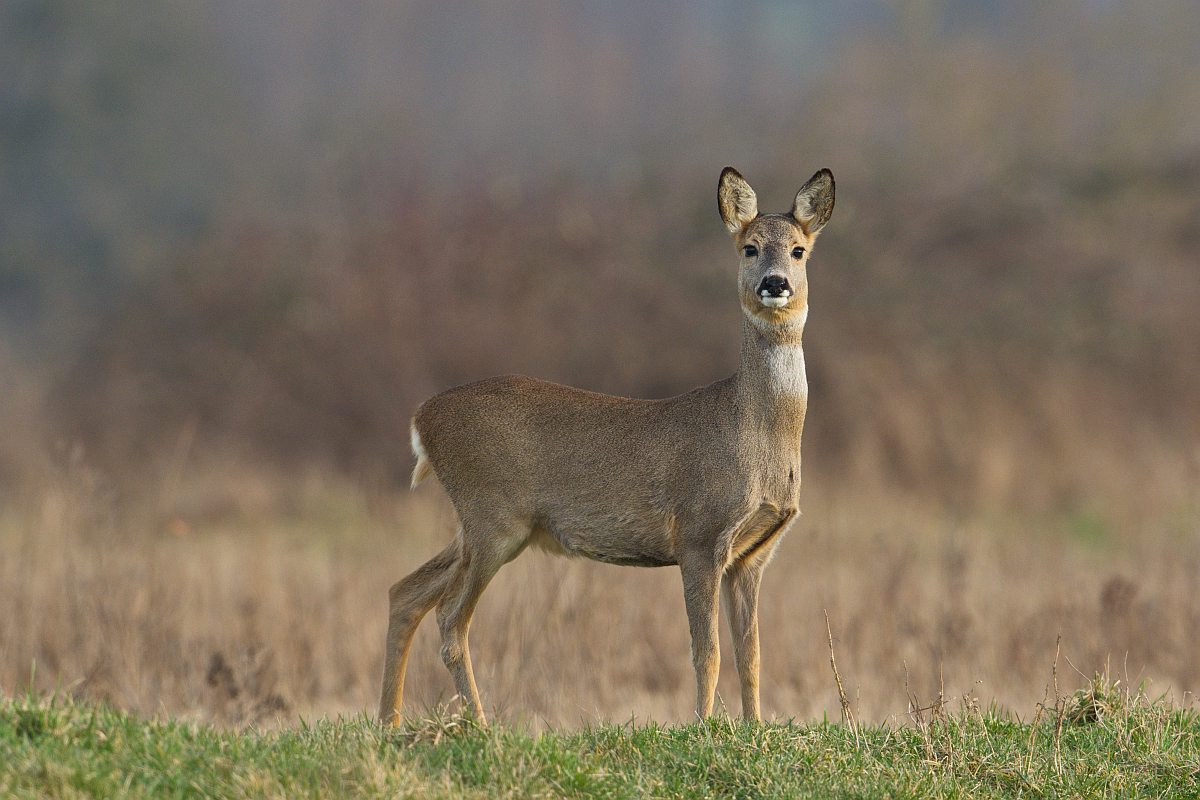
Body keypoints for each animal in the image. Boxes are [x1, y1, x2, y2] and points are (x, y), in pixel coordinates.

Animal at [379, 165, 840, 729]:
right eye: (749, 248)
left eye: (798, 250)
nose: (775, 283)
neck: (754, 431)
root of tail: (422, 420)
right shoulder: (699, 533)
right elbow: (706, 652)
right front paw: (703, 728)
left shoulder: (753, 554)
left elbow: (751, 654)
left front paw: (754, 729)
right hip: (494, 517)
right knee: (449, 619)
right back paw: (480, 727)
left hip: (481, 526)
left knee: (405, 592)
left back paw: (388, 723)